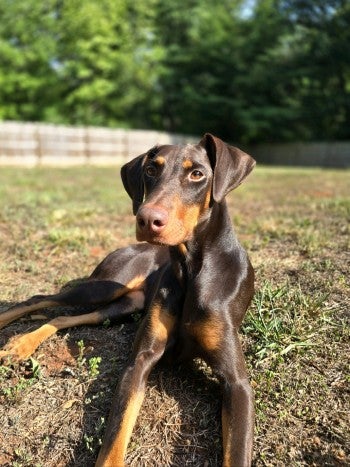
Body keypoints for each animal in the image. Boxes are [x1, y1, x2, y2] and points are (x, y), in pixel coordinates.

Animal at [1, 133, 256, 466]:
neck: (191, 269)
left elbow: (236, 452)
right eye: (150, 169)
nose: (147, 219)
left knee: (63, 316)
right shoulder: (139, 361)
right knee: (41, 298)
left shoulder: (237, 384)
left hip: (121, 307)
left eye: (197, 174)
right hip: (106, 287)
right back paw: (16, 340)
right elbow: (114, 439)